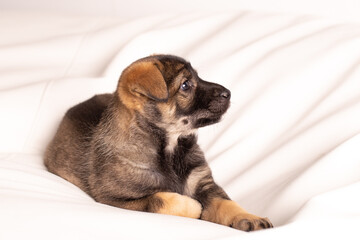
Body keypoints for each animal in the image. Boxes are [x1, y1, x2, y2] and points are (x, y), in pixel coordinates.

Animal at [43, 54, 272, 231]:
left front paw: (249, 217)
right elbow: (162, 199)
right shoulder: (116, 199)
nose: (228, 93)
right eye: (186, 85)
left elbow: (226, 203)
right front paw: (194, 207)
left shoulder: (204, 183)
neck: (171, 149)